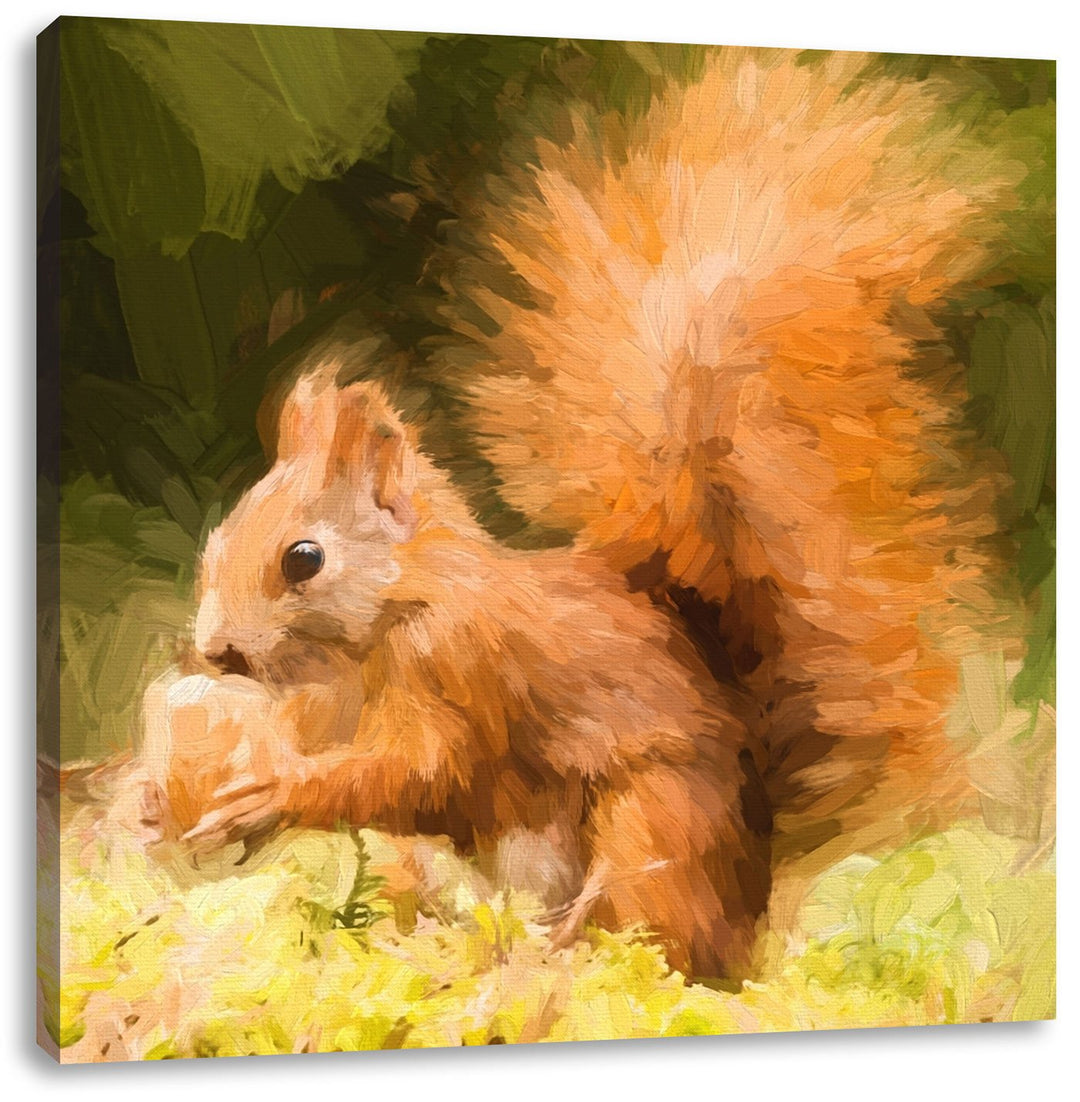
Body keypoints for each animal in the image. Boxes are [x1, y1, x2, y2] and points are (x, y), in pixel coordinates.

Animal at [139, 49, 1028, 980]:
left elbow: (420, 777)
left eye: (302, 559)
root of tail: (746, 922)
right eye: (219, 539)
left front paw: (273, 793)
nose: (214, 651)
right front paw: (146, 802)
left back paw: (559, 960)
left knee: (644, 924)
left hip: (655, 819)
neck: (382, 624)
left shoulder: (465, 673)